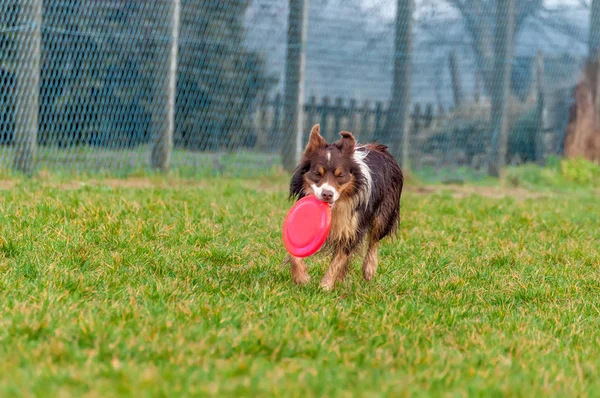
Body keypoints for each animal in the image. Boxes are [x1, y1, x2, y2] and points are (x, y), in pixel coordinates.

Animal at [288, 123, 404, 290]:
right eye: (317, 173)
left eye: (340, 176)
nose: (327, 194)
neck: (336, 207)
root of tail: (381, 148)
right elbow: (294, 250)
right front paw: (302, 277)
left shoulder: (351, 226)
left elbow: (339, 258)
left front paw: (325, 287)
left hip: (384, 212)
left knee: (375, 239)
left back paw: (369, 269)